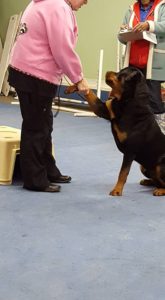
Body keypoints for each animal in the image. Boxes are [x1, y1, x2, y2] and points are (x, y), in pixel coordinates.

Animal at [65, 66, 165, 196]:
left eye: (122, 74)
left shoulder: (130, 151)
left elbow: (123, 172)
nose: (108, 71)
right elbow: (90, 94)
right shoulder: (104, 110)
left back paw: (160, 190)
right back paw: (148, 182)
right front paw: (75, 85)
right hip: (144, 167)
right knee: (156, 179)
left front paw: (117, 190)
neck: (126, 102)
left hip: (160, 166)